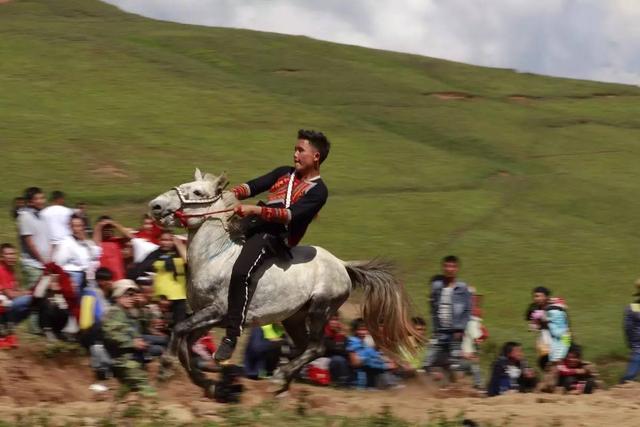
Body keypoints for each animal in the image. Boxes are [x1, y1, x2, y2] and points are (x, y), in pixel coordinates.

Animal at [152, 169, 418, 396]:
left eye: (198, 192)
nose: (155, 205)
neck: (215, 257)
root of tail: (342, 265)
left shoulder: (219, 311)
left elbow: (179, 330)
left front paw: (165, 367)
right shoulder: (205, 316)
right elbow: (186, 344)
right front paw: (206, 382)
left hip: (321, 309)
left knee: (317, 348)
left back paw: (279, 377)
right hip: (294, 317)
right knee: (303, 347)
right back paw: (284, 381)